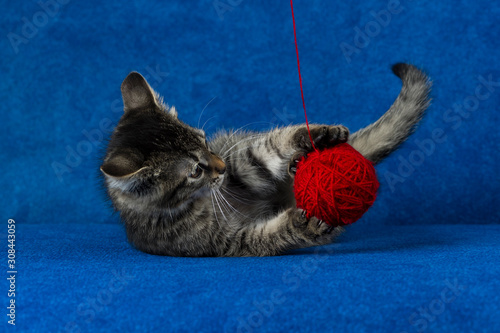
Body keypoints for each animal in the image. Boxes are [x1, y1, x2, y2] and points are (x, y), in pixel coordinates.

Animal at [100, 63, 430, 256]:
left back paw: (298, 162)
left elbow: (262, 153)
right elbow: (268, 235)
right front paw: (305, 225)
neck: (202, 200)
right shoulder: (227, 241)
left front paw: (315, 136)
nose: (221, 167)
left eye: (204, 140)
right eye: (195, 171)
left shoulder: (241, 163)